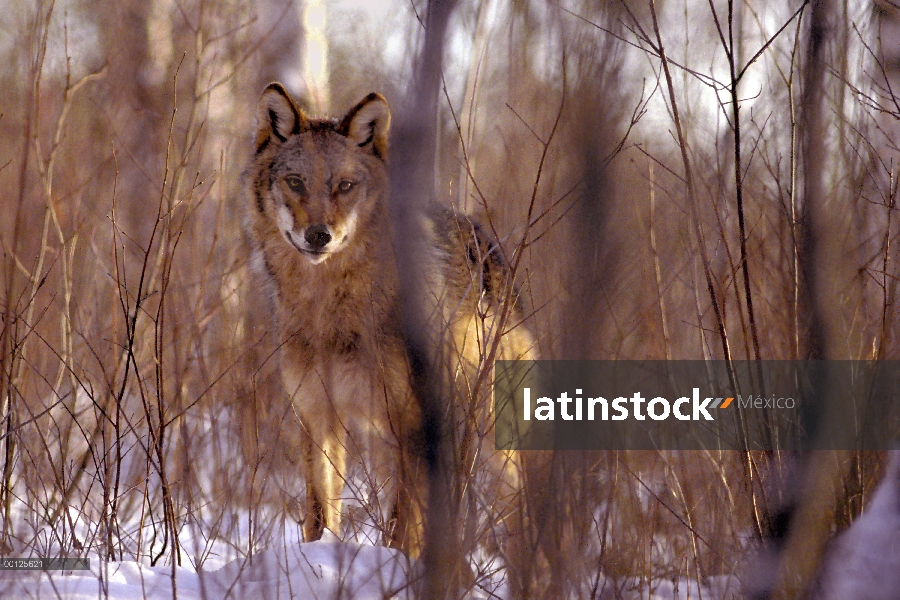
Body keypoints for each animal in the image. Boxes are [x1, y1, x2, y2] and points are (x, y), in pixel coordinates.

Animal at [243, 83, 536, 552]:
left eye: (345, 185)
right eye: (295, 182)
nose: (319, 235)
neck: (330, 309)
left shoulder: (413, 421)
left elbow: (403, 522)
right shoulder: (317, 415)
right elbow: (318, 515)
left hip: (491, 439)